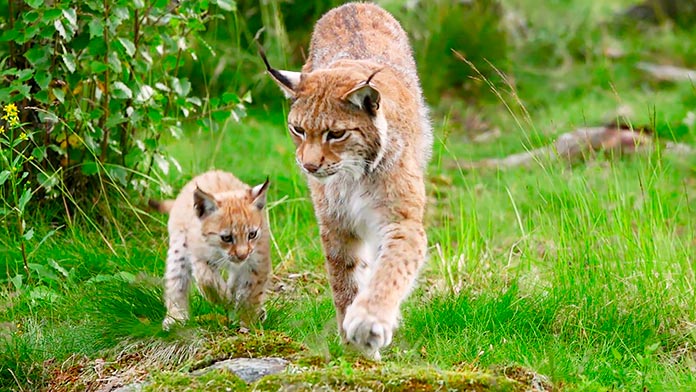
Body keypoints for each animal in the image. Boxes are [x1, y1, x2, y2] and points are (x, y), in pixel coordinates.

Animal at [150, 170, 272, 330]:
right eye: (226, 238)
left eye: (252, 234)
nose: (242, 255)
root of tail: (210, 172)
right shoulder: (198, 255)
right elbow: (207, 279)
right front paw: (225, 298)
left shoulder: (258, 261)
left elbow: (251, 292)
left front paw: (247, 322)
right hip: (179, 248)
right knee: (176, 281)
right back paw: (175, 317)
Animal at [264, 1, 432, 360]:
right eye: (297, 129)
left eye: (336, 134)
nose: (309, 165)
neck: (353, 177)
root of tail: (354, 5)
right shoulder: (335, 221)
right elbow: (345, 279)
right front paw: (355, 347)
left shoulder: (402, 220)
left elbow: (390, 270)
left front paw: (369, 321)